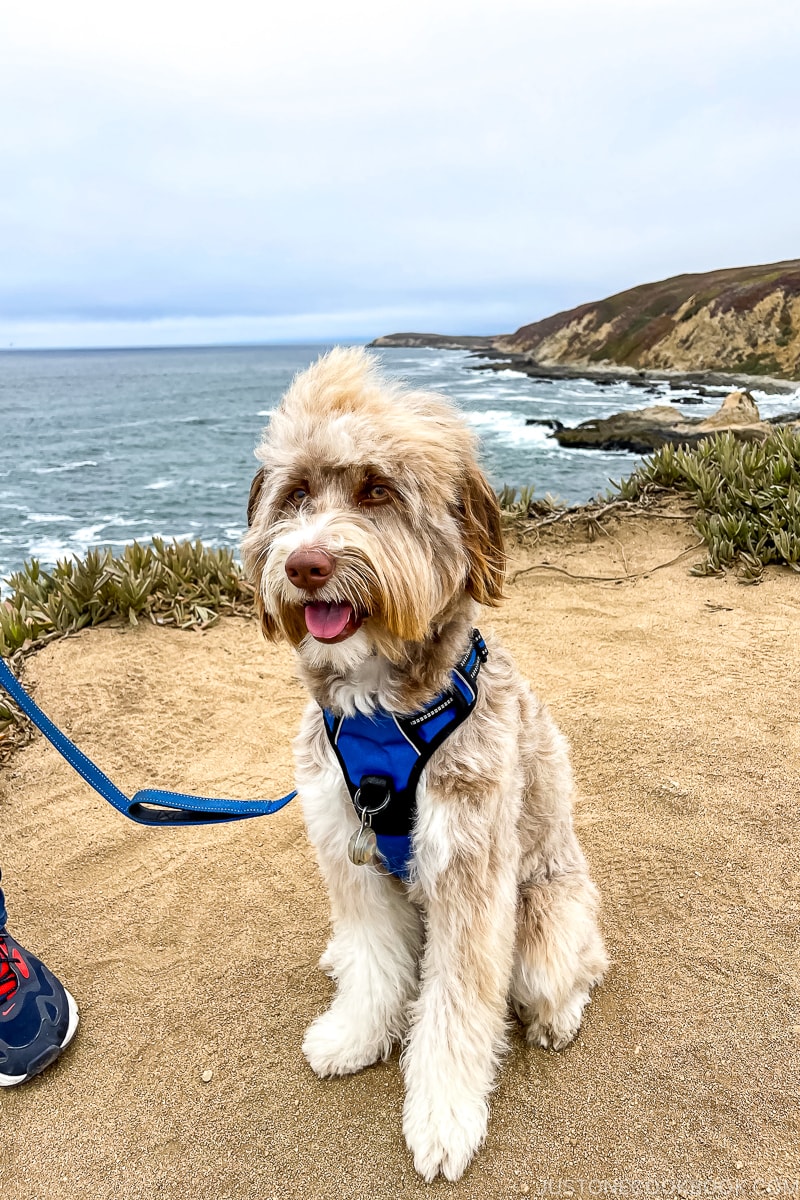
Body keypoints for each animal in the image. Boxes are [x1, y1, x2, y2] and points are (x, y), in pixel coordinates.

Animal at [242, 348, 606, 1180]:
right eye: (297, 493)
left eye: (377, 490)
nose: (306, 564)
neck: (382, 710)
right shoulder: (348, 850)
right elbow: (377, 963)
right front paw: (356, 1033)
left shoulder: (469, 869)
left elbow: (457, 1007)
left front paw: (443, 1119)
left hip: (548, 917)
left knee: (572, 971)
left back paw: (559, 1017)